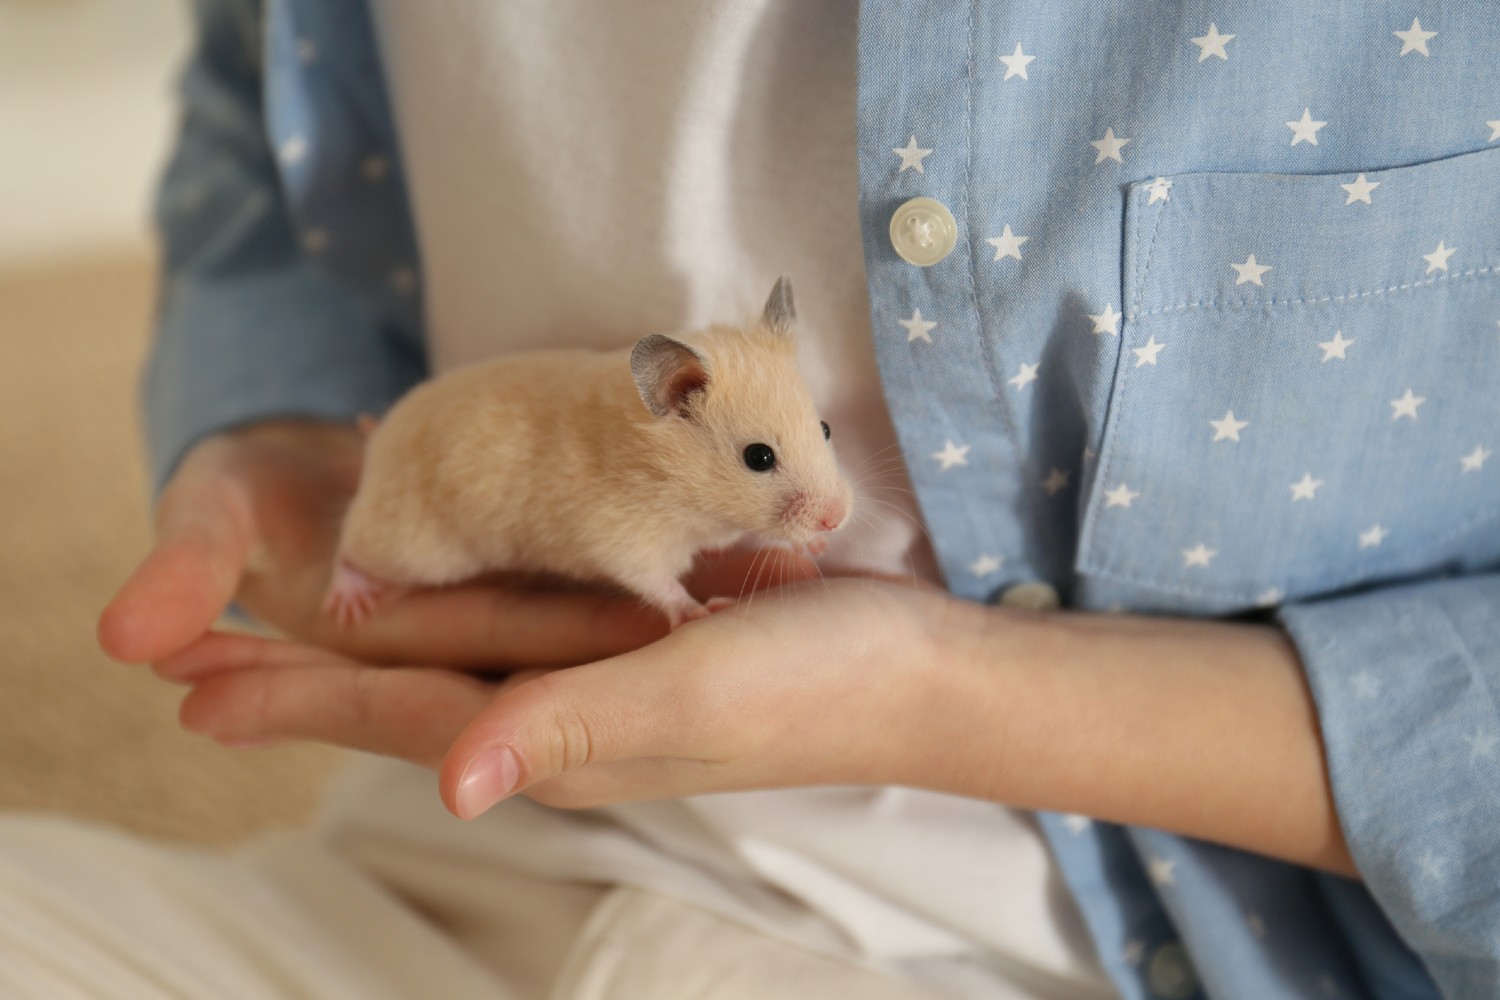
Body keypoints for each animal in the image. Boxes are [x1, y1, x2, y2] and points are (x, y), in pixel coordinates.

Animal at [323, 276, 853, 630]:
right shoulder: (623, 538)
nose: (837, 519)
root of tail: (380, 442)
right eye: (758, 457)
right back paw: (349, 602)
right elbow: (658, 583)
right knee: (349, 546)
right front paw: (703, 609)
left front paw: (814, 547)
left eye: (825, 427)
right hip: (415, 546)